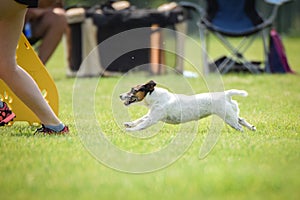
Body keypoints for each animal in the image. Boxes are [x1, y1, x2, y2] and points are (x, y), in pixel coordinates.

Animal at [119, 80, 255, 132]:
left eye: (133, 90)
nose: (120, 95)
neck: (156, 97)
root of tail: (226, 94)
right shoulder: (151, 114)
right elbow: (140, 119)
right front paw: (129, 124)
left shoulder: (153, 118)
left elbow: (142, 125)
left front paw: (129, 130)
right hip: (232, 114)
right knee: (241, 120)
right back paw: (252, 128)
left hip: (228, 118)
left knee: (239, 127)